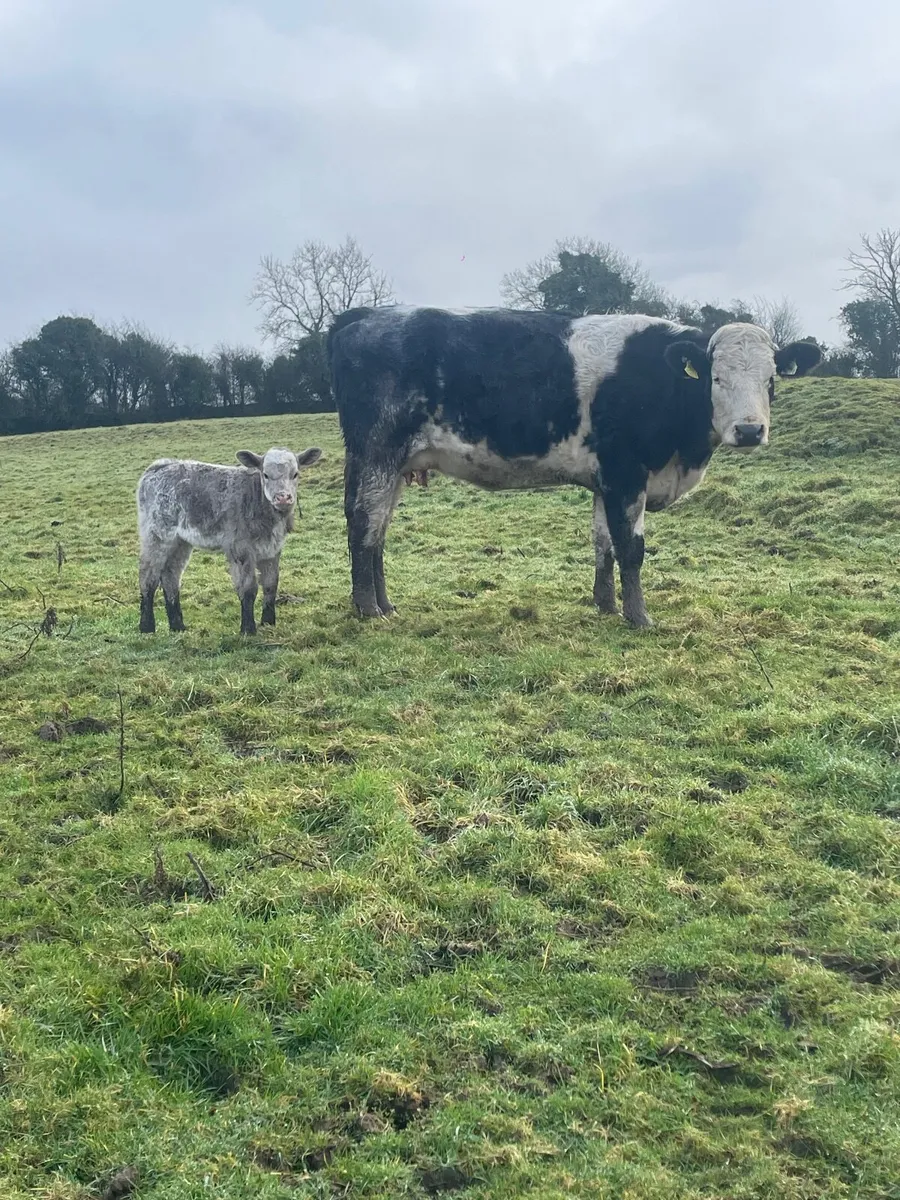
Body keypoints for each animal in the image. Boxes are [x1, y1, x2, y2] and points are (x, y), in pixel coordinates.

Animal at [137, 446, 323, 636]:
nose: (283, 497)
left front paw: (268, 622)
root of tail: (161, 465)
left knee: (171, 576)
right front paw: (248, 629)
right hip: (157, 535)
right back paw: (147, 627)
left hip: (181, 541)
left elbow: (271, 584)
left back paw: (177, 626)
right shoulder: (240, 548)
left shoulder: (272, 549)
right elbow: (248, 588)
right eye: (265, 474)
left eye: (295, 474)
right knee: (148, 576)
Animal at [328, 306, 820, 626]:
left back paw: (386, 605)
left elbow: (604, 545)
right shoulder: (626, 473)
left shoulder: (606, 481)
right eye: (716, 379)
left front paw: (606, 606)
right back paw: (368, 610)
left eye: (770, 379)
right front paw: (638, 618)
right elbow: (632, 549)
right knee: (364, 524)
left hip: (395, 464)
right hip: (376, 452)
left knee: (378, 531)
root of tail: (365, 316)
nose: (750, 430)